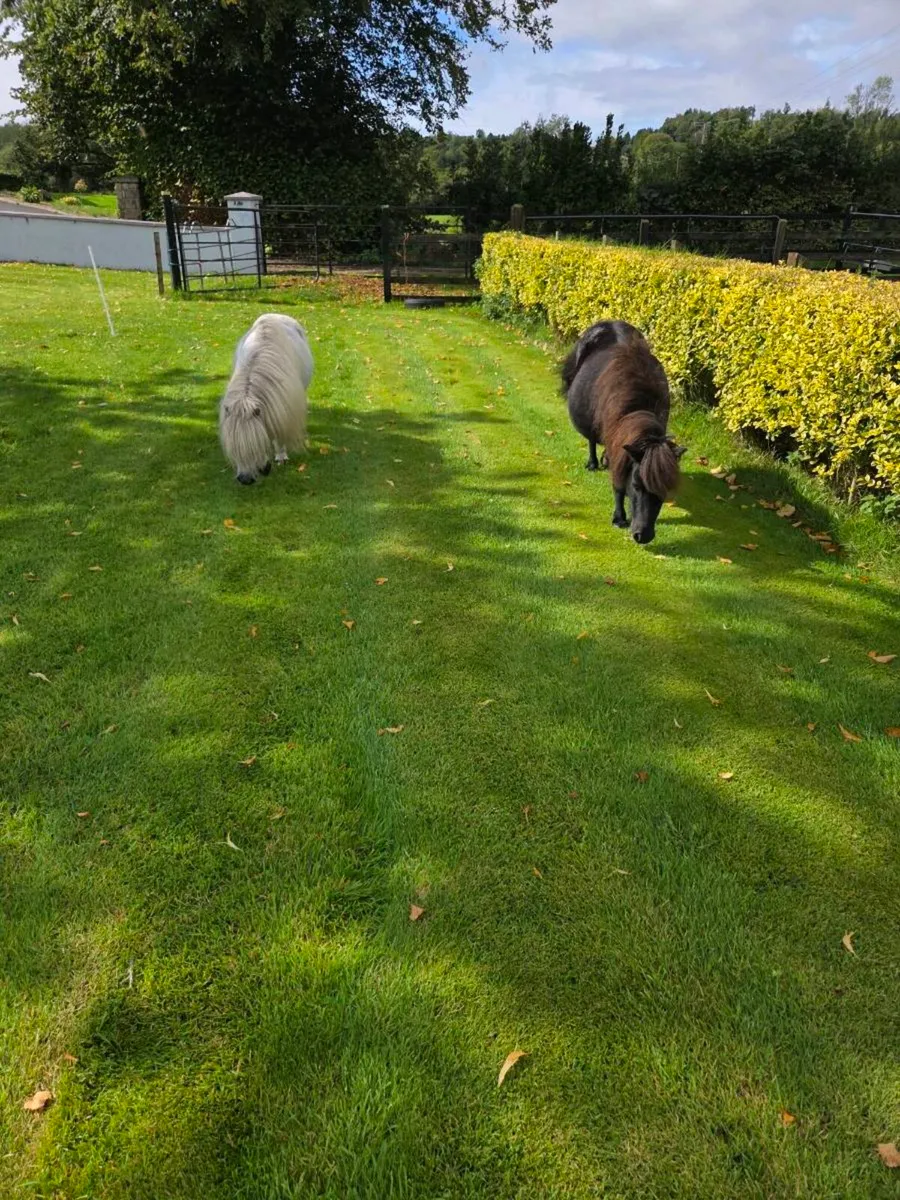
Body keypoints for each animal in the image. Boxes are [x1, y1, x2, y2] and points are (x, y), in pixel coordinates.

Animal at [561, 320, 685, 545]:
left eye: (663, 489)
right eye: (636, 485)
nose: (643, 535)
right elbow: (618, 483)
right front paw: (619, 518)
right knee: (591, 440)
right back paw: (593, 463)